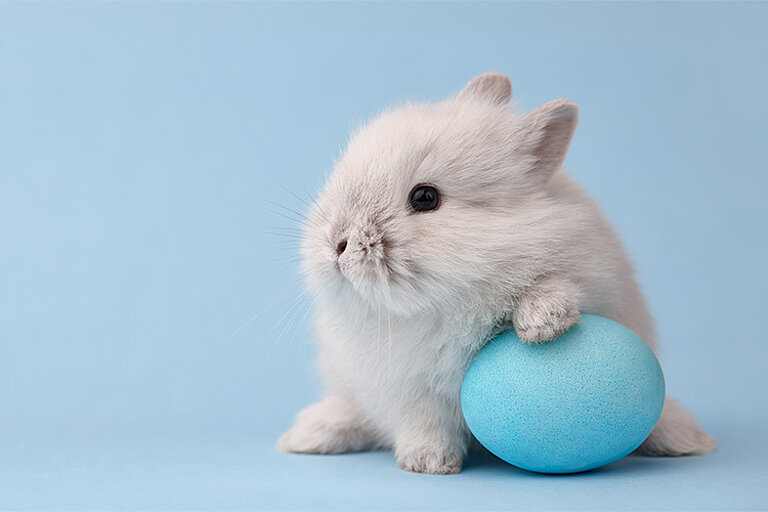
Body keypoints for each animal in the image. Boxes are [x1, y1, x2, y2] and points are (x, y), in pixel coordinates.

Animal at [277, 72, 715, 474]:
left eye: (425, 197)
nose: (337, 244)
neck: (448, 300)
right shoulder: (407, 388)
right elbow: (424, 423)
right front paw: (429, 462)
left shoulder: (593, 279)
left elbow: (554, 284)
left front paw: (542, 325)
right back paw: (305, 437)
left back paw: (687, 440)